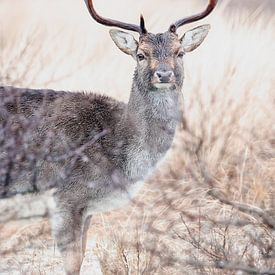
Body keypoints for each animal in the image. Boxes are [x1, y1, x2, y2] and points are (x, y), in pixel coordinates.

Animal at [0, 0, 218, 274]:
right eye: (141, 54)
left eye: (180, 52)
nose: (164, 74)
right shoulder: (66, 198)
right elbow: (73, 262)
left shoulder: (87, 208)